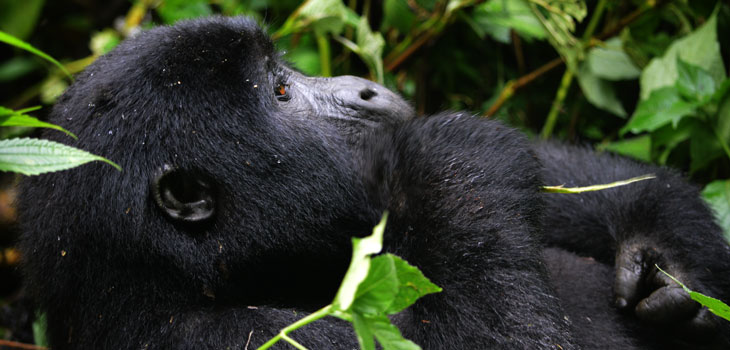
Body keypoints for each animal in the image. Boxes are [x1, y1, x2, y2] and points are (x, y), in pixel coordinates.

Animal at [17, 15, 728, 348]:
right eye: (281, 92)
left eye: (283, 71)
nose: (365, 88)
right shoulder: (225, 341)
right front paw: (460, 155)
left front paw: (668, 261)